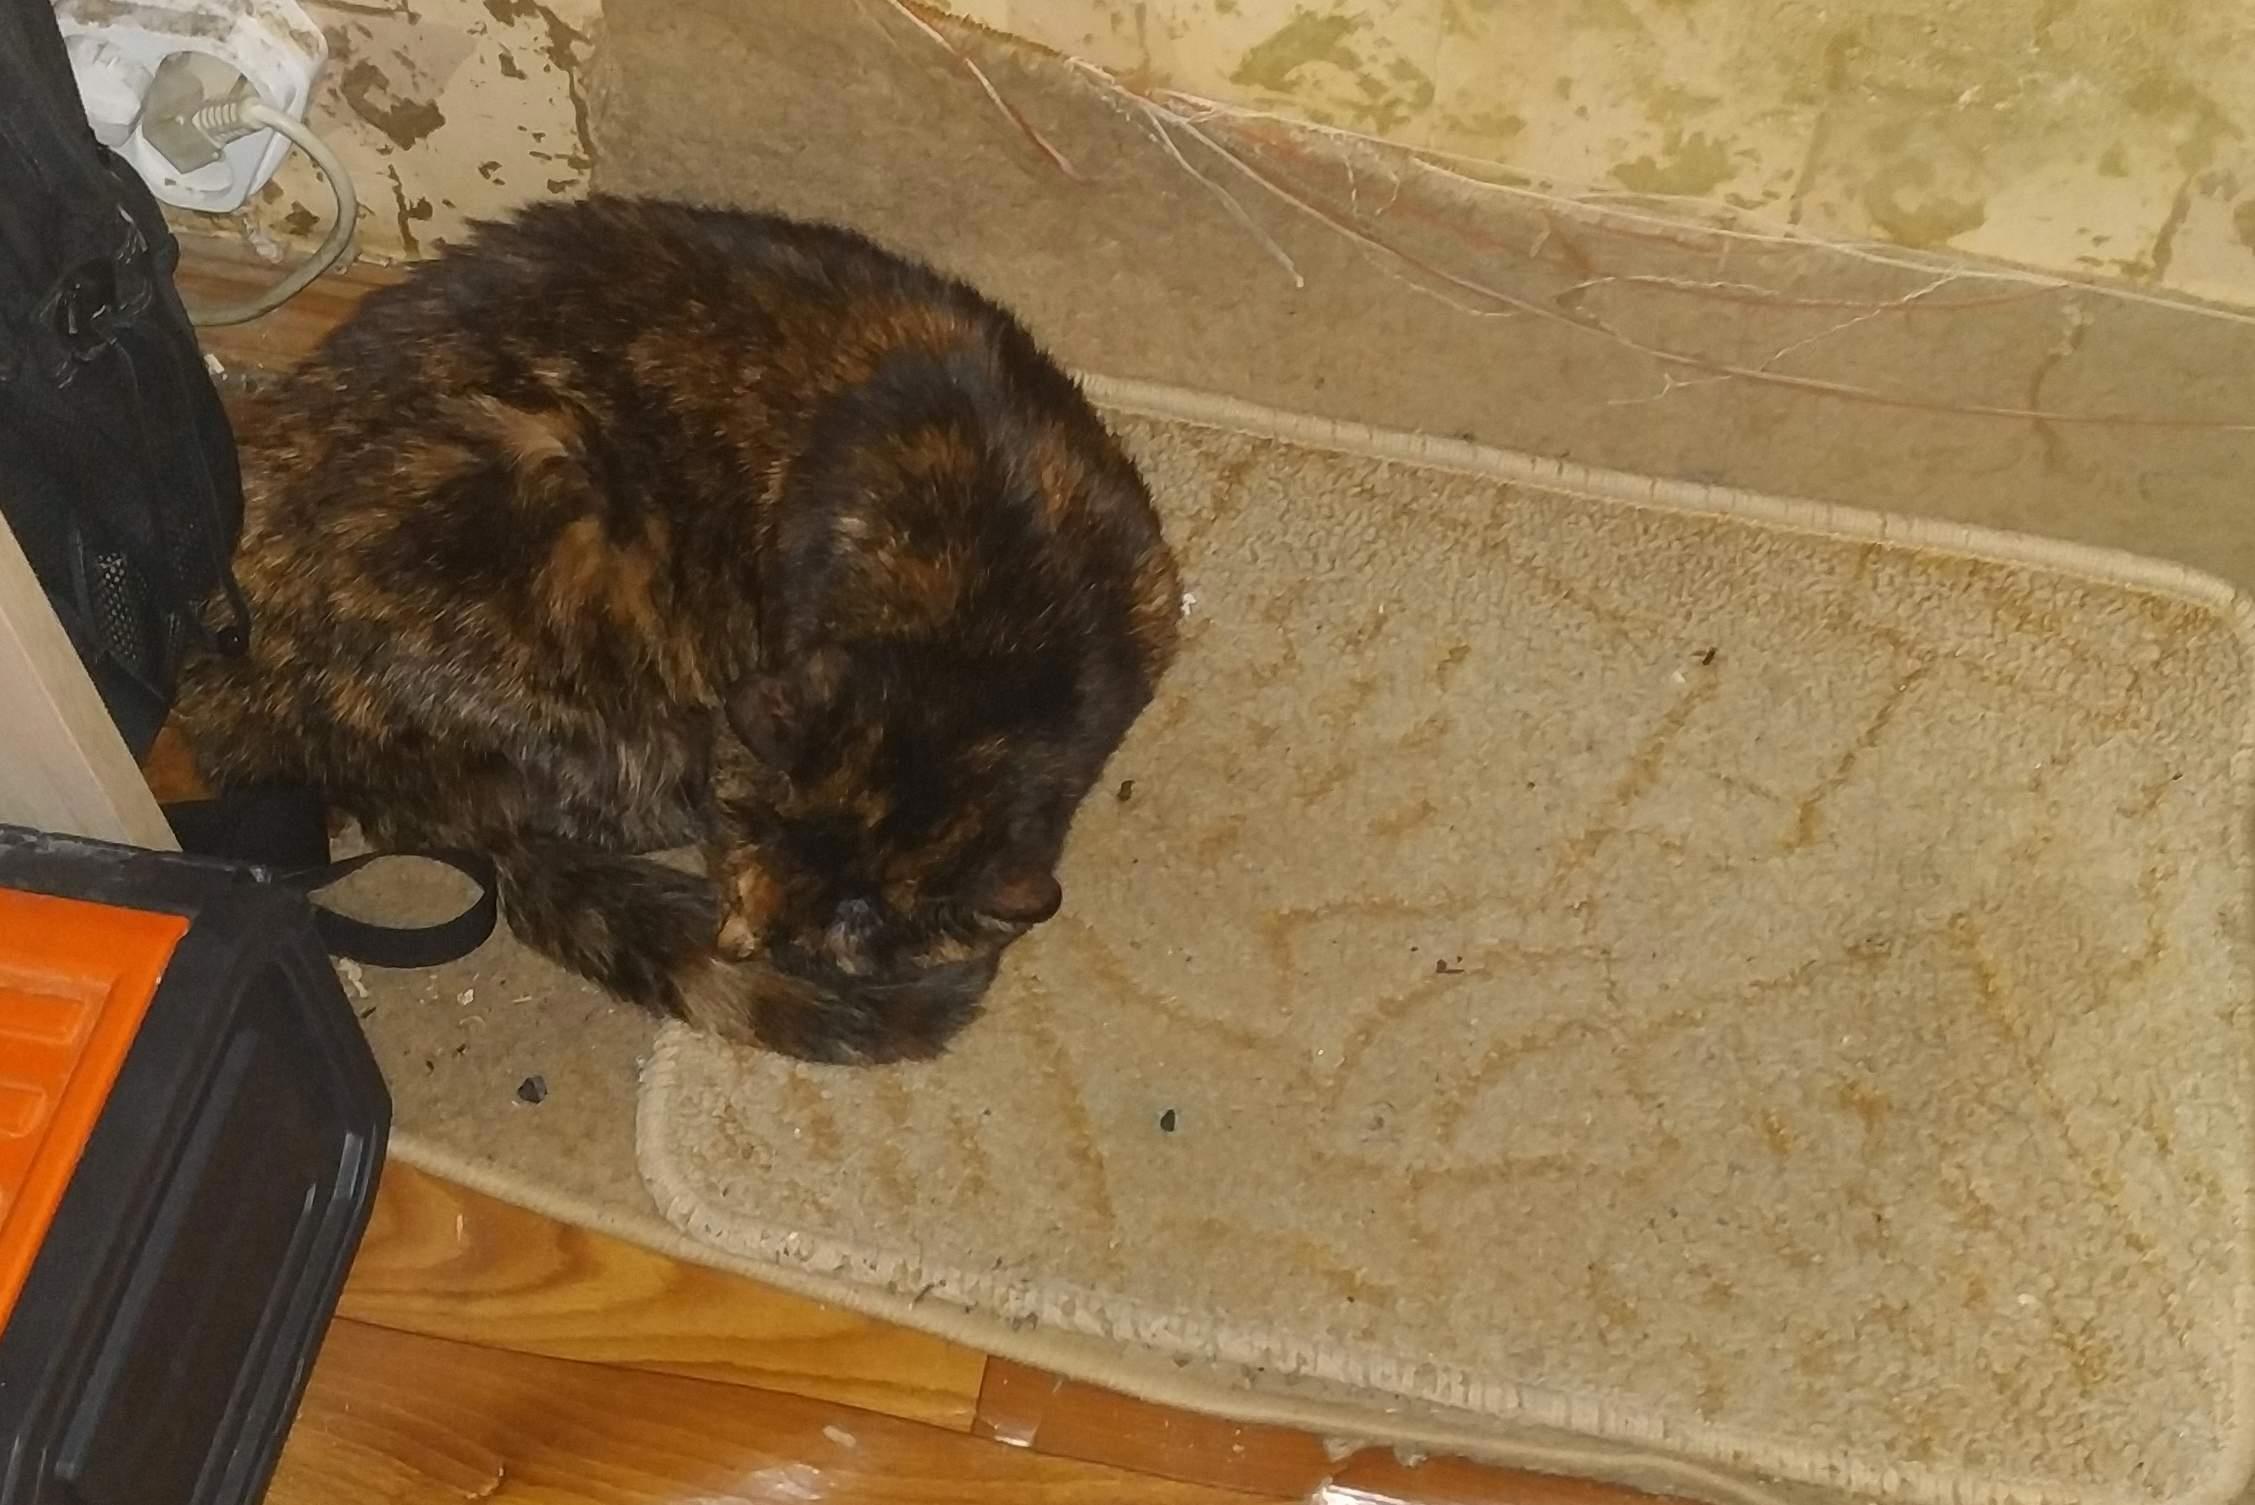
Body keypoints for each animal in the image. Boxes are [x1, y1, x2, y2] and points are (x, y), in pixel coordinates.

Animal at [175, 194, 1182, 1064]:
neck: (1001, 632)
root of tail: (245, 709)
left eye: (854, 920)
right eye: (753, 830)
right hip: (552, 519)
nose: (740, 936)